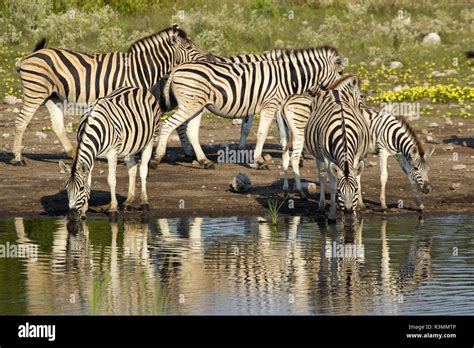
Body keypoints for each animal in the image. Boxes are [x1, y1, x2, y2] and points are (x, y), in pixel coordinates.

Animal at [11, 25, 213, 166]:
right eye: (189, 47)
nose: (208, 59)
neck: (140, 69)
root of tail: (31, 55)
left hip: (52, 96)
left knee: (57, 126)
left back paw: (73, 153)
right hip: (35, 92)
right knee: (21, 121)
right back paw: (17, 159)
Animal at [57, 85, 161, 219]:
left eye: (80, 188)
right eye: (66, 188)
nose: (72, 214)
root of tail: (138, 88)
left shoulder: (112, 153)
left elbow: (111, 180)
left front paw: (113, 208)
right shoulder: (92, 154)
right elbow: (89, 180)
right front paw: (84, 210)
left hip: (150, 140)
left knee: (143, 169)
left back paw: (144, 202)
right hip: (130, 146)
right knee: (132, 168)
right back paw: (128, 202)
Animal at [152, 46, 340, 169]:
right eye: (339, 72)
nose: (335, 95)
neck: (285, 77)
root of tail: (177, 68)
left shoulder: (276, 107)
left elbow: (277, 132)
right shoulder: (270, 105)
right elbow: (264, 133)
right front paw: (259, 161)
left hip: (197, 105)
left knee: (190, 130)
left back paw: (205, 161)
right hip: (189, 104)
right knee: (169, 124)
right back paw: (157, 159)